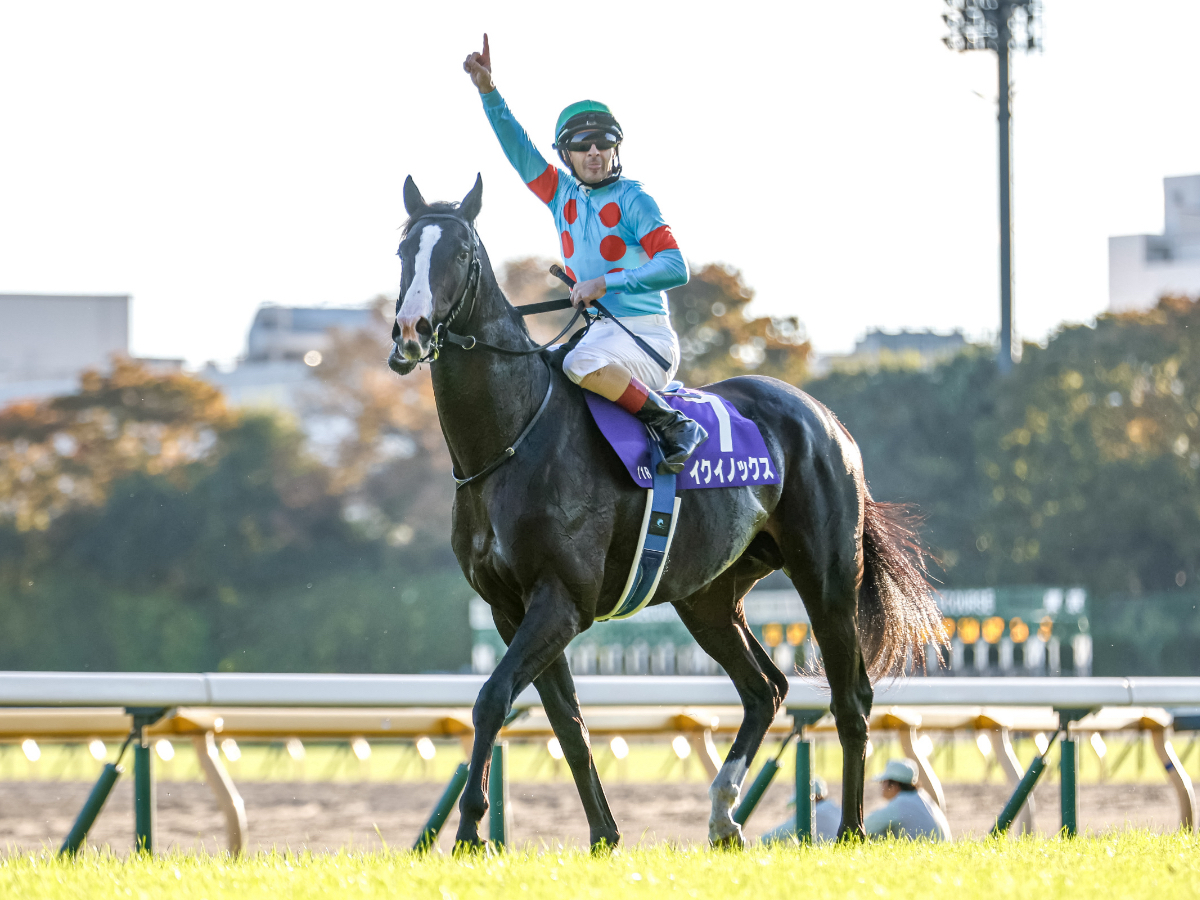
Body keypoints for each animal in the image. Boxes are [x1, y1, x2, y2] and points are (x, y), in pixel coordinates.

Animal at [388, 176, 940, 854]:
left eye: (460, 252)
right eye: (403, 251)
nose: (410, 331)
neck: (510, 440)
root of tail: (827, 419)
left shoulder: (560, 599)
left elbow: (493, 699)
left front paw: (469, 829)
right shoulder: (509, 607)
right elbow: (567, 724)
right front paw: (603, 834)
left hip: (828, 577)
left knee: (850, 698)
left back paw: (852, 829)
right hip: (706, 597)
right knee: (764, 690)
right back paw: (724, 815)